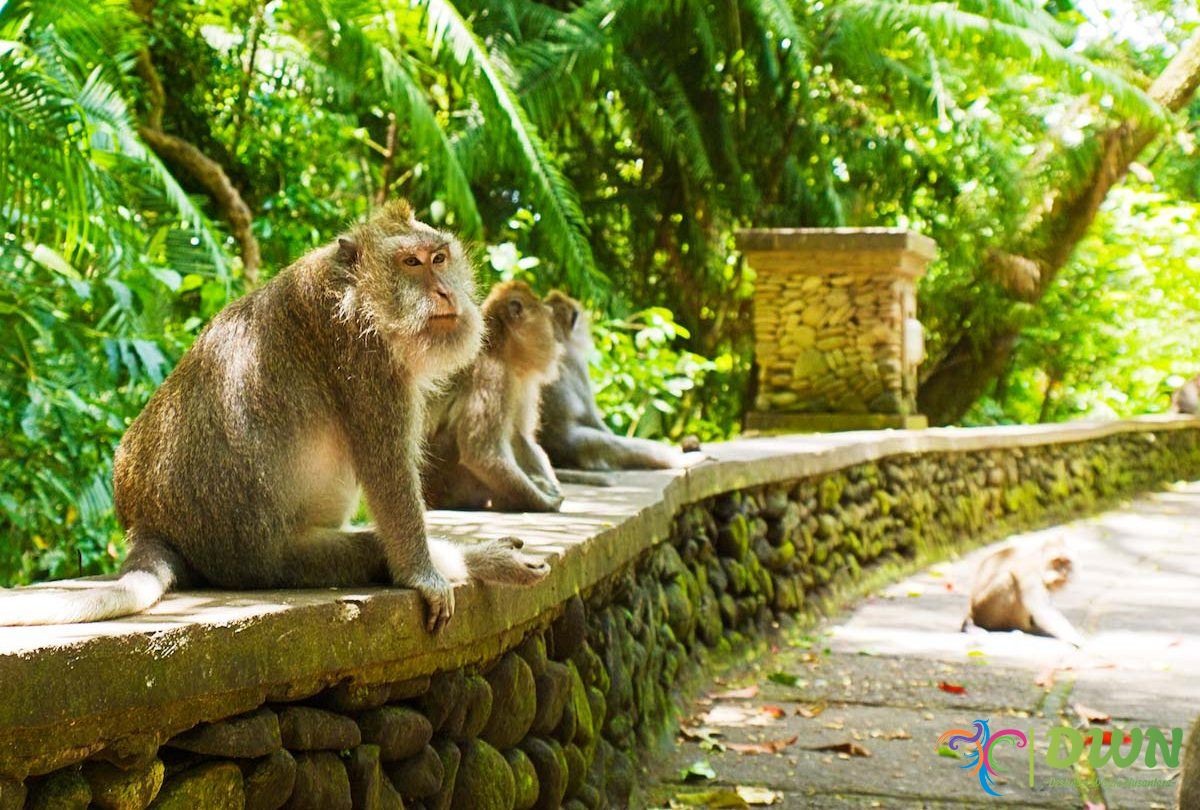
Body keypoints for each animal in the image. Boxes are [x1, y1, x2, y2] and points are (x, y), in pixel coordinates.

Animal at [0, 201, 549, 633]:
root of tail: (150, 524)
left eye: (439, 258)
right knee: (366, 550)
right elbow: (387, 470)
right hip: (259, 558)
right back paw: (484, 561)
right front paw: (424, 576)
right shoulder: (363, 357)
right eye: (411, 263)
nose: (445, 293)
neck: (355, 291)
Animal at [422, 282, 571, 513]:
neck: (500, 347)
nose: (557, 339)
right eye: (548, 316)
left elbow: (522, 436)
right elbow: (482, 453)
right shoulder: (493, 375)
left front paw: (549, 486)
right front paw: (545, 502)